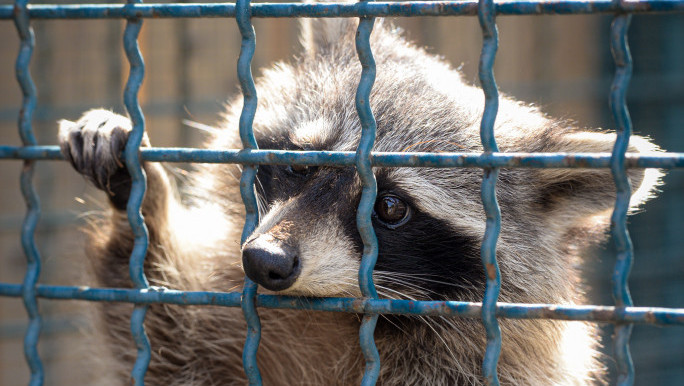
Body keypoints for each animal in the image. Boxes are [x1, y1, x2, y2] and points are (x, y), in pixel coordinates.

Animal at [60, 15, 664, 386]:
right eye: (300, 164)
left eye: (390, 208)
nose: (265, 261)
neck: (340, 315)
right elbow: (169, 350)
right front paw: (140, 208)